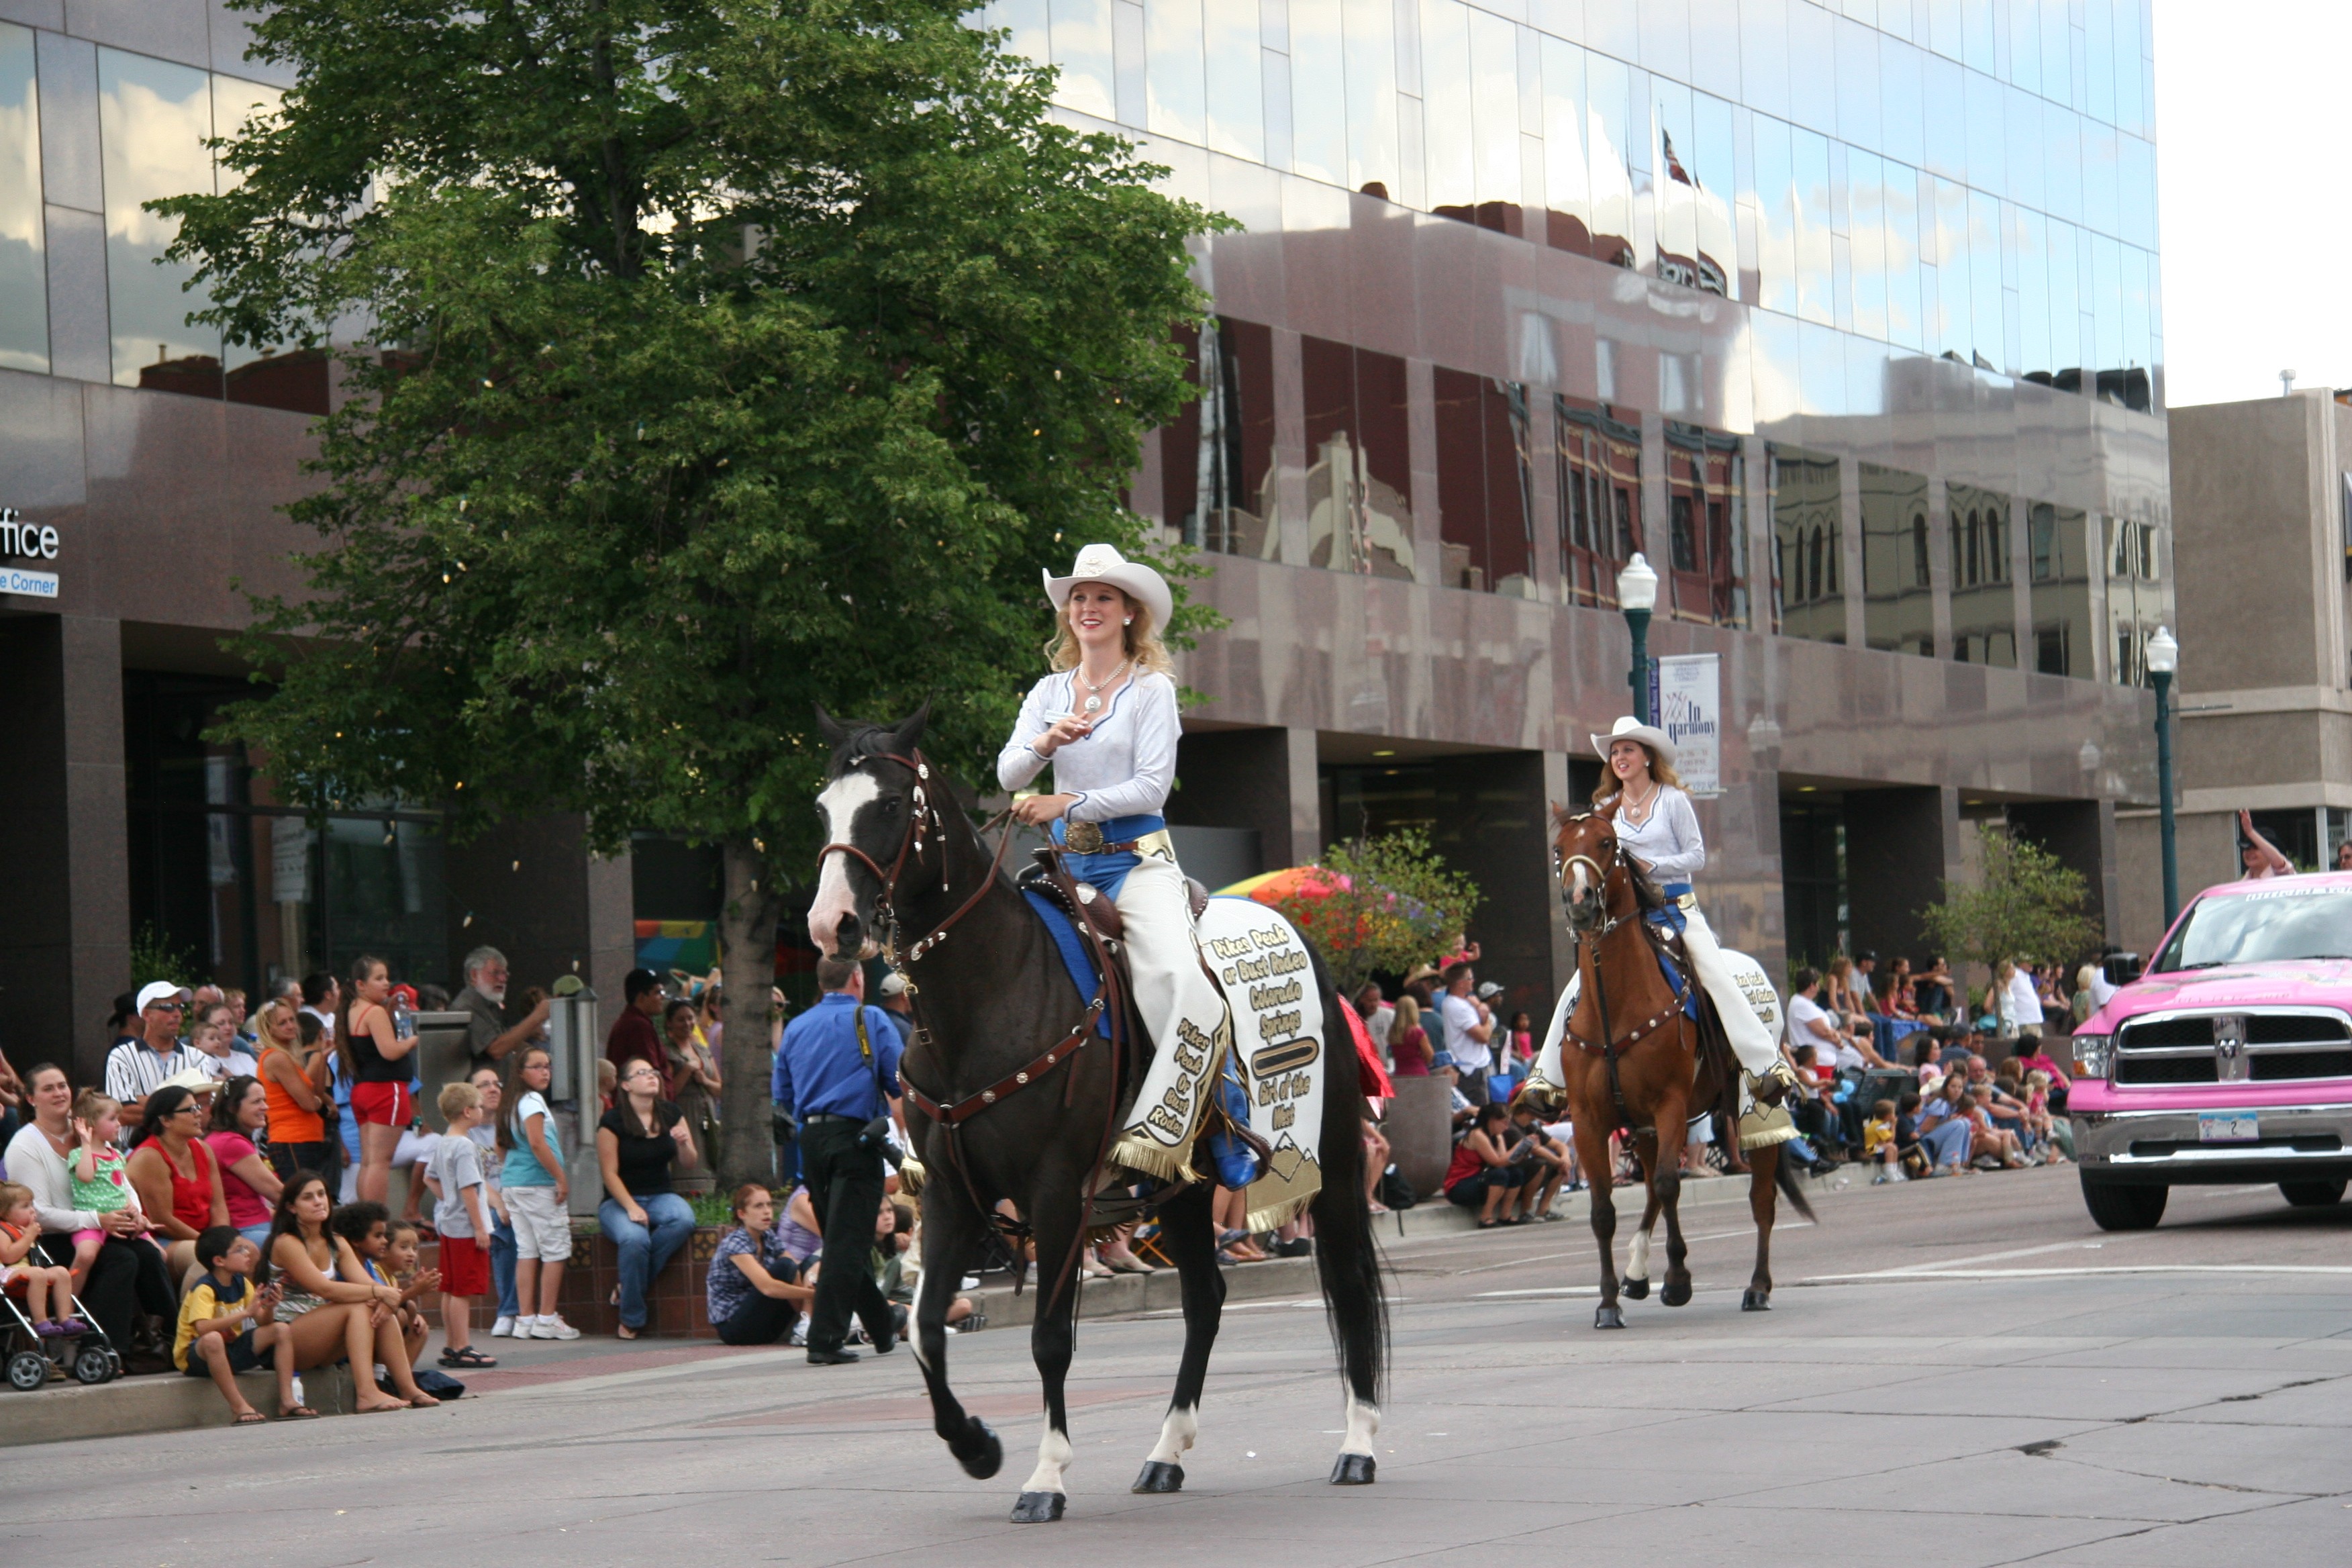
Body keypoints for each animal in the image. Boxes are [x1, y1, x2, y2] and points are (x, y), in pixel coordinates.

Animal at [1552, 803, 1806, 1335]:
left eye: (1607, 842)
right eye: (1559, 848)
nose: (1579, 901)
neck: (1615, 1003)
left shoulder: (1669, 1103)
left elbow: (1672, 1185)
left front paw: (1678, 1281)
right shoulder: (1590, 1120)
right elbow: (1604, 1210)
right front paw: (1609, 1302)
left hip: (1754, 1113)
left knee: (1761, 1201)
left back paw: (1757, 1287)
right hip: (1642, 1128)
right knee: (1650, 1189)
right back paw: (1635, 1273)